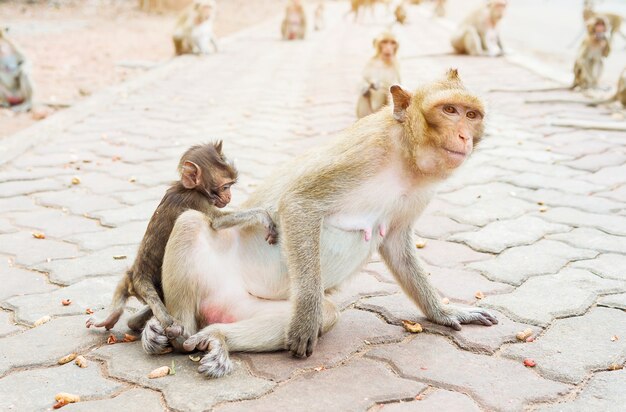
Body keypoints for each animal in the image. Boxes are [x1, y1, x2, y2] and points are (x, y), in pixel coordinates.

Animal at [85, 142, 276, 348]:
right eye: (225, 186)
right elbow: (218, 223)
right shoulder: (197, 200)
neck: (189, 188)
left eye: (231, 186)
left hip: (134, 280)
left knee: (123, 283)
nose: (229, 196)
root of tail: (139, 276)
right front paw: (264, 215)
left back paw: (114, 316)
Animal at [143, 69, 498, 378]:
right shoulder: (362, 154)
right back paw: (173, 333)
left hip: (241, 305)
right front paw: (305, 318)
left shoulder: (420, 193)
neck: (404, 158)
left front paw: (444, 312)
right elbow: (299, 204)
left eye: (471, 115)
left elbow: (397, 246)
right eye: (449, 110)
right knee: (190, 222)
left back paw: (217, 337)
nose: (464, 135)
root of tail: (214, 306)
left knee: (324, 315)